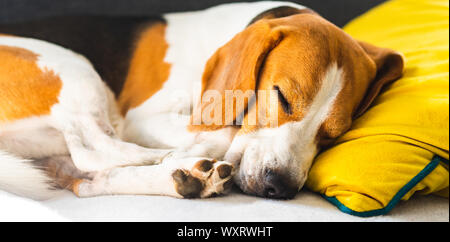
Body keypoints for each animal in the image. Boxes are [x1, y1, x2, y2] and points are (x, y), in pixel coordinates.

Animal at [0, 0, 404, 199]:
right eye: (283, 99)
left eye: (333, 135)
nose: (280, 187)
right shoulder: (144, 117)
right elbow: (225, 129)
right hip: (70, 67)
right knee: (93, 150)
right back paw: (175, 159)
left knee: (86, 178)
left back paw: (183, 178)